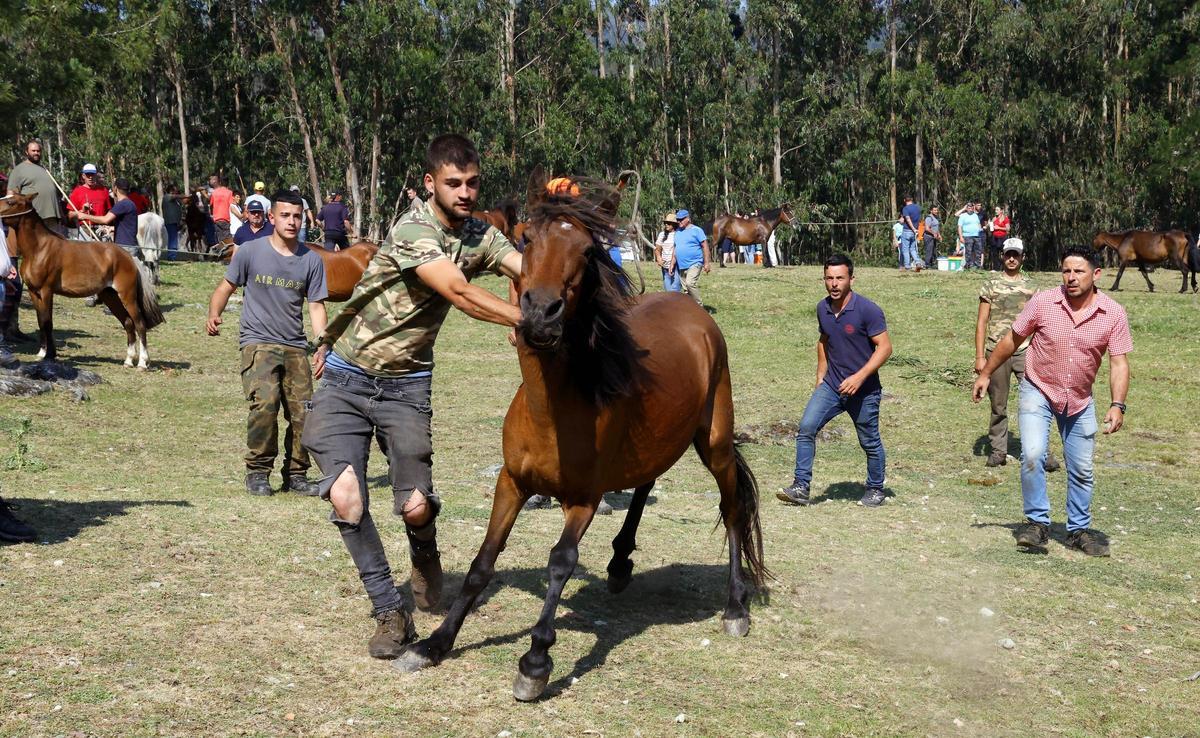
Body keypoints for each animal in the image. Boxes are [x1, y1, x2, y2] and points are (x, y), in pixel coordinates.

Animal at [0, 193, 165, 369]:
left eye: (11, 201)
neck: (39, 249)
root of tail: (128, 257)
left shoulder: (46, 291)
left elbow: (47, 322)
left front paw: (50, 355)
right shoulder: (33, 292)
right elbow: (41, 322)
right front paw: (42, 353)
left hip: (128, 296)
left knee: (139, 324)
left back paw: (142, 363)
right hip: (110, 296)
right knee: (128, 322)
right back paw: (128, 360)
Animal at [394, 172, 768, 701]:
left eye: (590, 250)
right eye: (525, 239)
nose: (541, 314)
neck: (551, 411)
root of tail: (692, 310)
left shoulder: (584, 500)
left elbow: (560, 561)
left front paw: (535, 662)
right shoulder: (512, 483)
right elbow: (483, 562)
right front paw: (434, 643)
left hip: (713, 443)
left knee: (732, 509)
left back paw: (735, 607)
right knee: (647, 481)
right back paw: (620, 562)